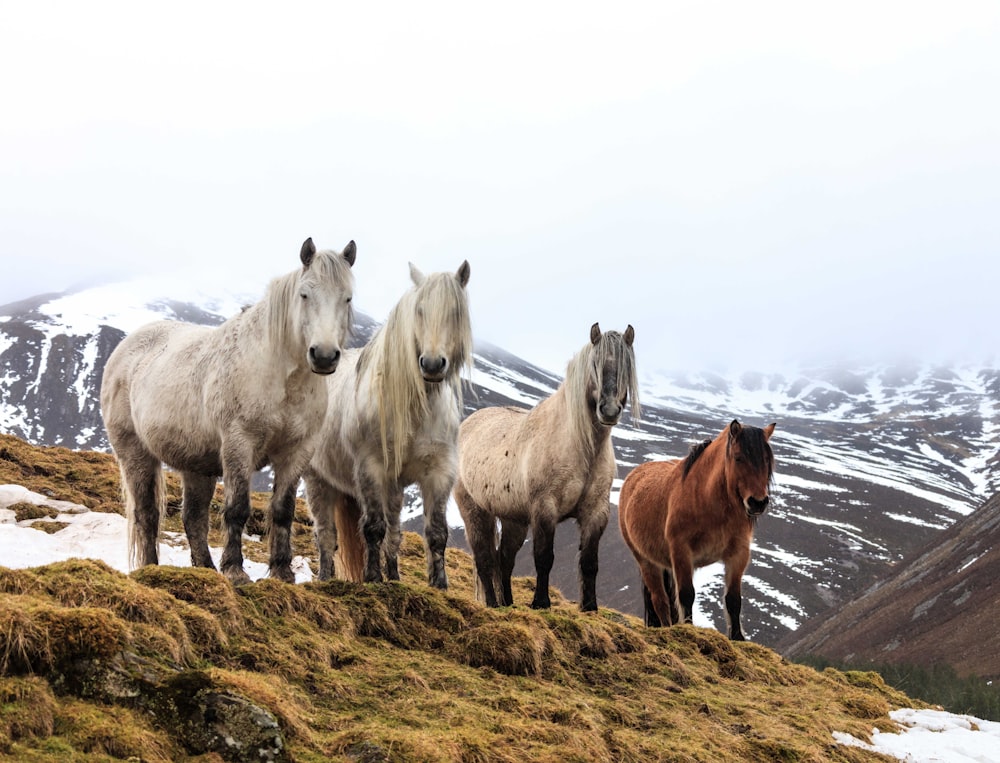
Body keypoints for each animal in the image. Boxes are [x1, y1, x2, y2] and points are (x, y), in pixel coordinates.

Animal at [101, 239, 358, 584]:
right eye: (305, 294)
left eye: (347, 298)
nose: (325, 356)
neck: (279, 375)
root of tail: (126, 349)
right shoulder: (240, 443)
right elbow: (237, 507)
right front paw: (236, 570)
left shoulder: (297, 451)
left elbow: (283, 511)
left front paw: (281, 572)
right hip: (135, 454)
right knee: (147, 514)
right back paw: (152, 569)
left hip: (197, 466)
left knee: (193, 518)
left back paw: (206, 569)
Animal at [304, 260, 472, 588]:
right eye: (419, 310)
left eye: (455, 312)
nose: (432, 365)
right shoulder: (371, 468)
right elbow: (373, 528)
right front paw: (372, 577)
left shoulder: (439, 471)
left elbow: (436, 532)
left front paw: (439, 584)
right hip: (318, 481)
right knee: (326, 536)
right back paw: (326, 578)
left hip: (393, 488)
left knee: (393, 533)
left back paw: (394, 575)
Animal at [456, 326, 640, 612]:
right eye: (595, 364)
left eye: (627, 366)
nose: (609, 410)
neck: (580, 447)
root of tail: (467, 424)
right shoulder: (545, 509)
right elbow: (544, 557)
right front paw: (541, 602)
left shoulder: (596, 512)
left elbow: (589, 562)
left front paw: (589, 607)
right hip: (476, 513)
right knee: (484, 559)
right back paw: (493, 605)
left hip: (514, 520)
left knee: (504, 560)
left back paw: (508, 603)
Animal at [616, 420, 772, 640]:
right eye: (738, 457)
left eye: (766, 459)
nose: (758, 502)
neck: (707, 500)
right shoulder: (682, 552)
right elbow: (687, 594)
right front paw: (689, 630)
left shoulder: (738, 554)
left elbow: (733, 599)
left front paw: (738, 638)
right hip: (646, 561)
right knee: (660, 600)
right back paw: (667, 628)